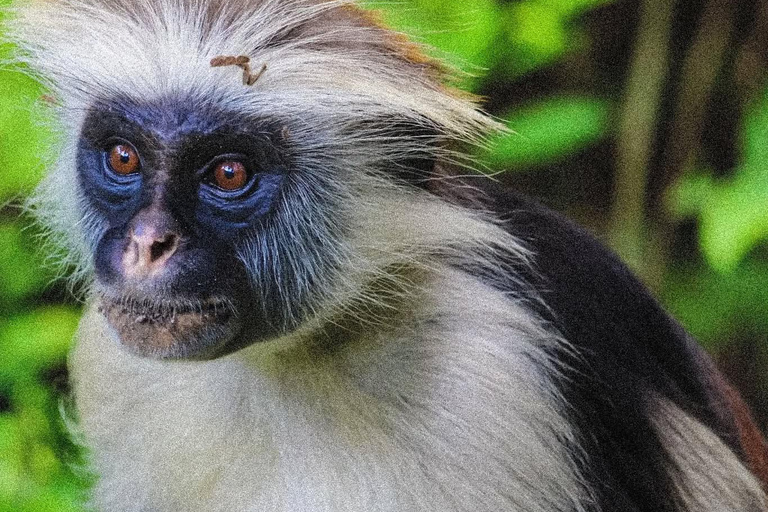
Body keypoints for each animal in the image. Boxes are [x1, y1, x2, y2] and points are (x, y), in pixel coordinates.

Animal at [6, 0, 768, 510]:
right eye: (122, 158)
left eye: (228, 173)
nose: (147, 243)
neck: (291, 356)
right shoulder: (114, 368)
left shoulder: (497, 376)